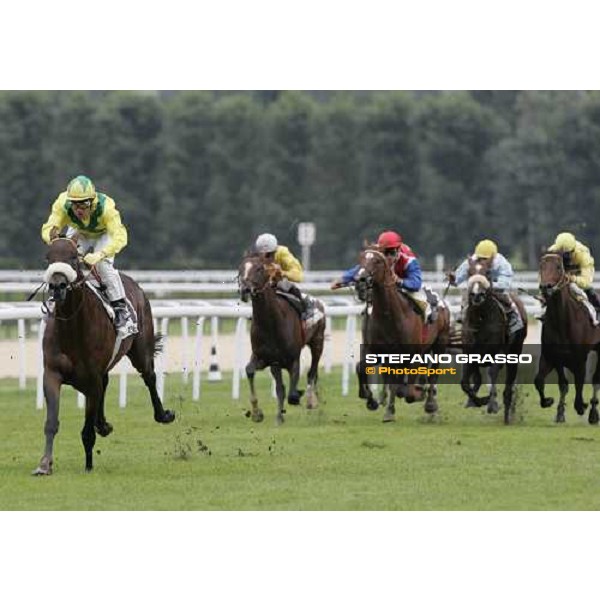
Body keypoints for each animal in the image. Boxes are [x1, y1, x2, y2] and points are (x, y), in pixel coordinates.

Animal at [32, 237, 175, 476]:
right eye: (47, 258)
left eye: (73, 257)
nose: (57, 286)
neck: (72, 327)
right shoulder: (52, 374)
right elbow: (51, 422)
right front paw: (44, 464)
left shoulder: (92, 378)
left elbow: (87, 430)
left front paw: (88, 465)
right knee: (107, 383)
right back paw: (103, 424)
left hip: (141, 350)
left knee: (149, 377)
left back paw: (162, 415)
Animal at [237, 253, 326, 426]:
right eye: (240, 269)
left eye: (259, 269)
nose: (245, 290)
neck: (271, 323)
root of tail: (318, 302)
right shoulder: (267, 359)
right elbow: (253, 372)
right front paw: (258, 413)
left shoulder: (293, 359)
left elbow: (292, 393)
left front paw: (298, 397)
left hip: (317, 342)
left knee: (312, 372)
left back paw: (311, 400)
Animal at [354, 244, 448, 422]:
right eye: (361, 258)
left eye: (377, 261)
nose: (360, 281)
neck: (389, 315)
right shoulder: (375, 350)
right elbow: (361, 368)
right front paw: (371, 399)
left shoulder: (412, 354)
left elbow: (405, 390)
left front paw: (418, 394)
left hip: (440, 344)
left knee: (432, 374)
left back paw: (430, 403)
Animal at [460, 256, 524, 422]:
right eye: (469, 272)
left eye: (487, 272)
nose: (476, 295)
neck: (481, 318)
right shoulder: (469, 353)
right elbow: (465, 383)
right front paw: (478, 400)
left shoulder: (497, 352)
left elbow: (492, 374)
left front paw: (491, 403)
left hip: (514, 352)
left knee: (508, 383)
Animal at [536, 251, 600, 424]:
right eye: (541, 266)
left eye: (558, 267)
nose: (545, 287)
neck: (562, 322)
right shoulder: (554, 357)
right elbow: (548, 382)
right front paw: (554, 407)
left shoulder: (580, 358)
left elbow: (579, 382)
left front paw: (581, 406)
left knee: (596, 380)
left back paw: (593, 413)